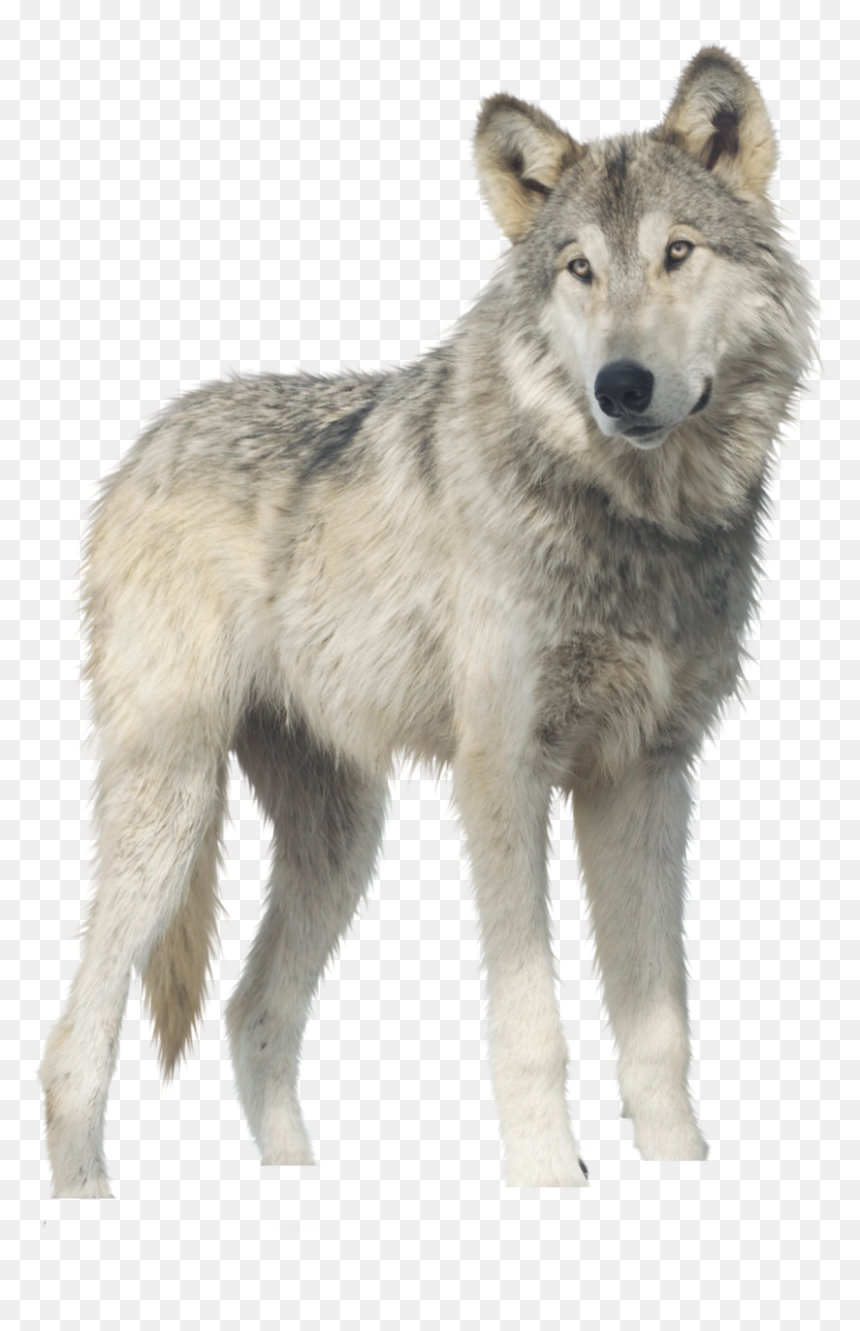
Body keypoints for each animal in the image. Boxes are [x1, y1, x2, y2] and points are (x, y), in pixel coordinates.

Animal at [40, 47, 814, 1196]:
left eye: (676, 253)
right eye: (579, 269)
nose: (621, 386)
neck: (629, 520)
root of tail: (146, 441)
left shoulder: (643, 777)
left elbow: (658, 1029)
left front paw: (675, 1170)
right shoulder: (503, 770)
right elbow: (533, 1022)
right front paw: (548, 1177)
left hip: (341, 836)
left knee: (253, 1011)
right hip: (172, 807)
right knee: (74, 1041)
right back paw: (85, 1194)